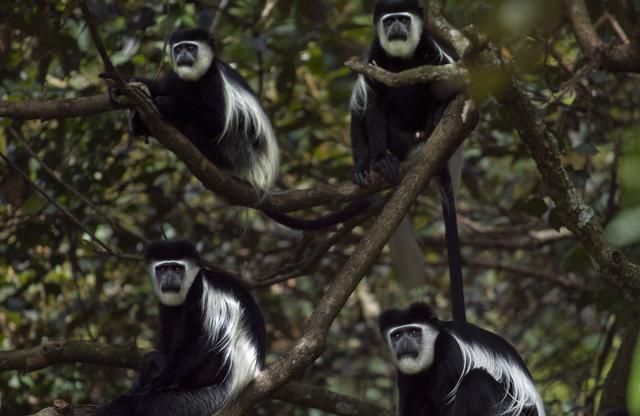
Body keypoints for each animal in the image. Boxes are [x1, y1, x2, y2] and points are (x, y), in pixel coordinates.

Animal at [93, 240, 264, 416]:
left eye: (177, 268)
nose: (169, 278)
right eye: (162, 269)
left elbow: (200, 342)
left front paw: (152, 385)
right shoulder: (166, 305)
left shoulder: (200, 290)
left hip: (202, 397)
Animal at [108, 27, 368, 231]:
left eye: (191, 48)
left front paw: (166, 104)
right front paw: (127, 88)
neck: (199, 76)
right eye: (179, 48)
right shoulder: (175, 76)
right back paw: (140, 123)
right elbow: (162, 85)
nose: (182, 55)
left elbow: (215, 122)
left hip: (241, 154)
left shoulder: (215, 82)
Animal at [352, 0, 468, 318]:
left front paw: (442, 109)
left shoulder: (430, 48)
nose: (395, 27)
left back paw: (434, 123)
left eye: (403, 19)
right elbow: (372, 103)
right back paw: (383, 162)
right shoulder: (374, 57)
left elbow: (452, 87)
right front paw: (378, 161)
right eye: (389, 20)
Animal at [380, 302, 544, 416]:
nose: (404, 343)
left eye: (413, 332)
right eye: (397, 335)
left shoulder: (450, 348)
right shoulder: (406, 372)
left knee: (477, 379)